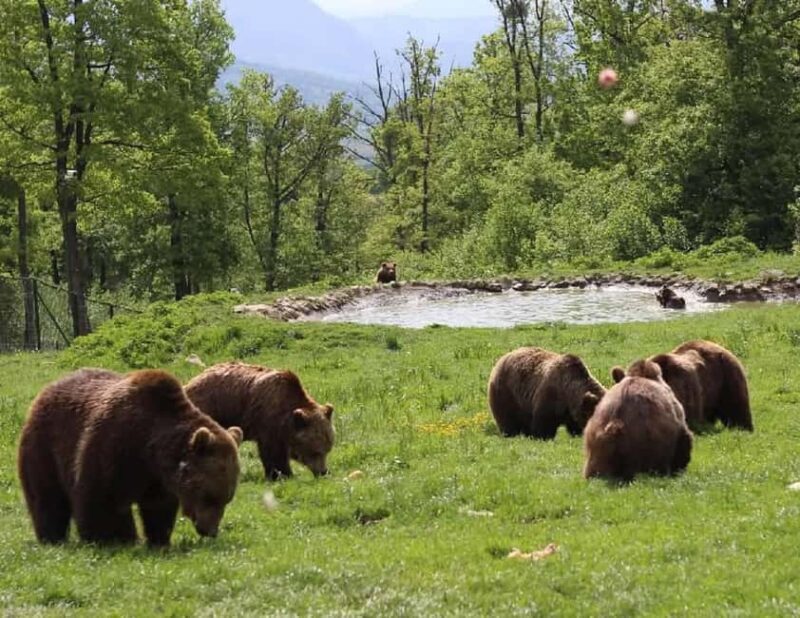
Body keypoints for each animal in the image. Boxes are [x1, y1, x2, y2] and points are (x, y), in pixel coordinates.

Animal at [17, 368, 243, 545]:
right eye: (209, 496)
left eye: (227, 498)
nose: (210, 531)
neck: (150, 448)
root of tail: (47, 389)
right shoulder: (113, 446)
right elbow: (101, 499)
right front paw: (114, 538)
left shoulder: (158, 478)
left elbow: (158, 508)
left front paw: (158, 539)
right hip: (44, 445)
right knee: (47, 495)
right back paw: (52, 537)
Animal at [185, 362, 334, 481]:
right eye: (315, 451)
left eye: (328, 449)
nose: (323, 472)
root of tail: (188, 384)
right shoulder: (268, 419)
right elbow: (273, 452)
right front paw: (281, 474)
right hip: (209, 408)